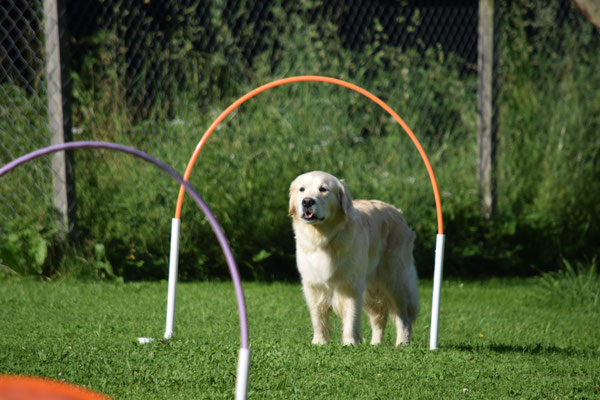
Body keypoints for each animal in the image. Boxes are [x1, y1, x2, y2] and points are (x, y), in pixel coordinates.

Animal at [290, 170, 420, 346]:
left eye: (323, 189)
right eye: (301, 189)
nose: (307, 201)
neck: (325, 238)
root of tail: (398, 212)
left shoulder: (351, 285)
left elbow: (351, 316)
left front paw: (350, 343)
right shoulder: (313, 285)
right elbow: (317, 317)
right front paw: (319, 341)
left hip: (395, 280)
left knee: (403, 316)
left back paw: (402, 343)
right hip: (371, 290)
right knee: (379, 317)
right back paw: (375, 343)